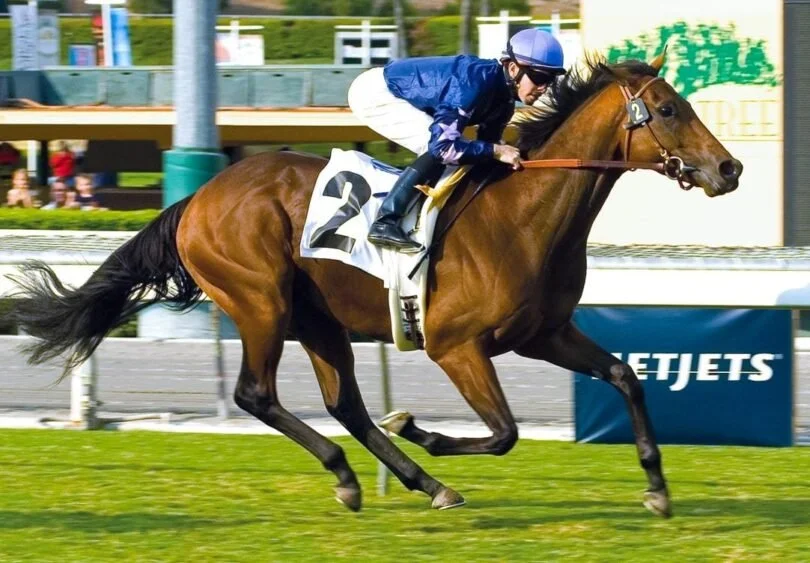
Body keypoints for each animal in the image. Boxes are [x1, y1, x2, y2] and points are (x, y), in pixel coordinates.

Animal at [8, 52, 742, 518]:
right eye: (668, 110)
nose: (729, 169)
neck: (522, 215)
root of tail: (198, 197)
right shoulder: (455, 345)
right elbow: (504, 431)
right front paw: (424, 429)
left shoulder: (544, 332)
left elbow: (624, 376)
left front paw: (658, 488)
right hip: (260, 301)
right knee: (257, 394)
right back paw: (368, 473)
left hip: (318, 319)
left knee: (345, 404)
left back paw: (413, 481)